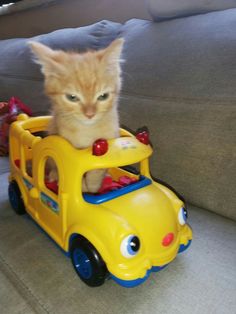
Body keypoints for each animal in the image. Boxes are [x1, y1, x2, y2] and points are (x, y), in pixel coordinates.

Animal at [29, 38, 123, 193]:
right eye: (72, 97)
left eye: (103, 96)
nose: (90, 114)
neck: (87, 130)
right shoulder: (66, 149)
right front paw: (82, 188)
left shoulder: (107, 145)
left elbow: (97, 169)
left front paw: (92, 188)